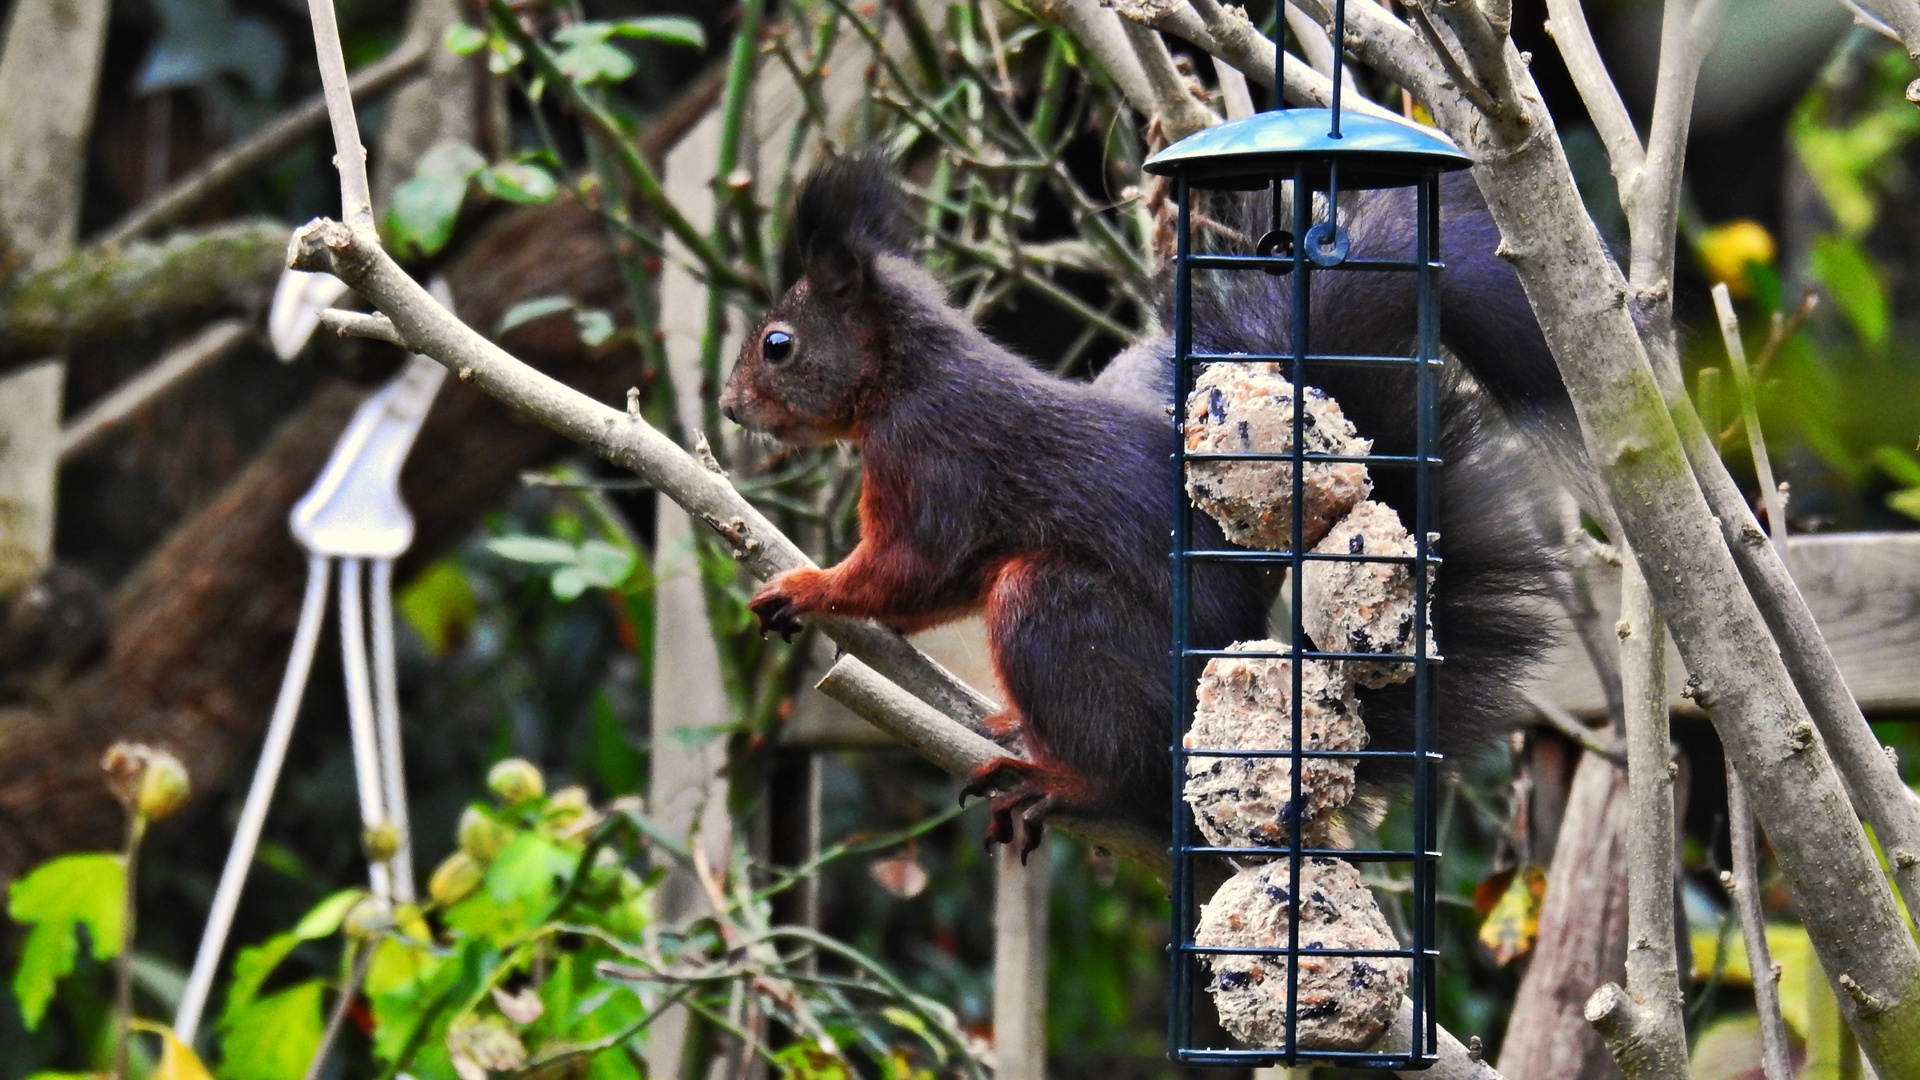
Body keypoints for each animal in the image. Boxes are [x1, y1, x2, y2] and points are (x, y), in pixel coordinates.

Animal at [721, 153, 1559, 857]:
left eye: (777, 344)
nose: (729, 408)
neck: (907, 373)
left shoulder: (931, 463)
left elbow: (911, 568)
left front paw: (810, 587)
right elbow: (939, 586)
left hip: (1056, 613)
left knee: (1122, 770)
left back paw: (1058, 782)